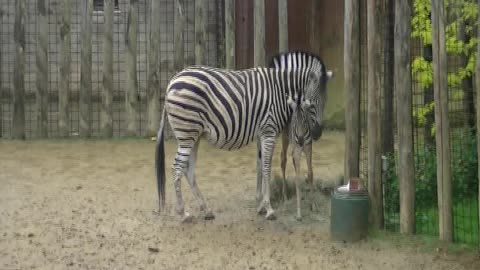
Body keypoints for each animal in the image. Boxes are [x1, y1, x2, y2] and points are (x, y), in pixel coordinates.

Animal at [156, 51, 332, 223]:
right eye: (312, 103)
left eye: (326, 101)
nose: (317, 134)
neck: (280, 90)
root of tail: (172, 81)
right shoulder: (269, 131)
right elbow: (267, 167)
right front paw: (269, 209)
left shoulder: (262, 132)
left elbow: (261, 166)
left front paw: (260, 205)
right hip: (187, 133)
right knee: (177, 168)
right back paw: (183, 213)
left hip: (195, 135)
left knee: (189, 169)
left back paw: (206, 210)